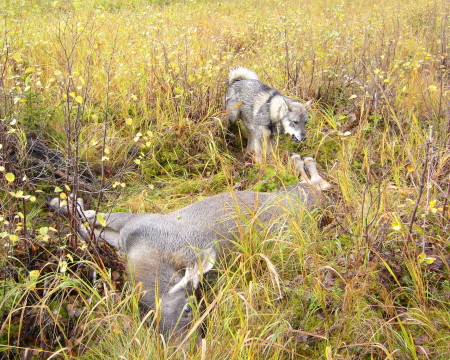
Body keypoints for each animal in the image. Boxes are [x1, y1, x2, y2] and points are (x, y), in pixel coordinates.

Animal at [50, 155, 330, 346]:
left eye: (189, 309)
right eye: (153, 324)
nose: (186, 349)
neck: (142, 249)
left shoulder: (133, 220)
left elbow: (90, 217)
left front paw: (64, 201)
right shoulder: (123, 235)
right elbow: (88, 224)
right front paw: (64, 202)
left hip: (300, 198)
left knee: (318, 185)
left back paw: (304, 161)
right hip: (298, 196)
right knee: (314, 185)